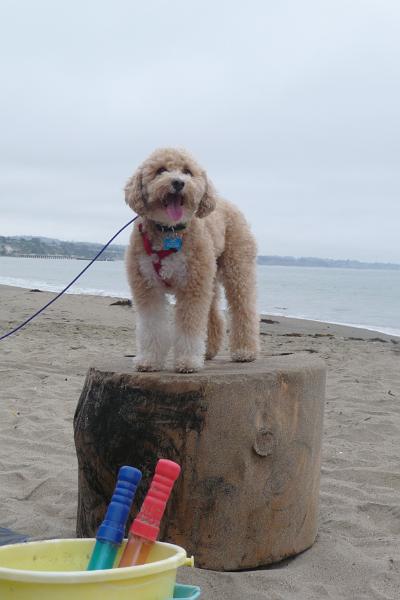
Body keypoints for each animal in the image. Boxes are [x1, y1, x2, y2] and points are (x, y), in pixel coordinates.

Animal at [125, 146, 260, 370]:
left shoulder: (192, 286)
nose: (178, 183)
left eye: (187, 171)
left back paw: (245, 351)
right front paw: (150, 360)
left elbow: (190, 325)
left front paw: (188, 361)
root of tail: (225, 201)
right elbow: (152, 326)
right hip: (210, 277)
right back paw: (208, 351)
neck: (169, 230)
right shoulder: (146, 286)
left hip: (237, 268)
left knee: (244, 309)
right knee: (214, 315)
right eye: (160, 170)